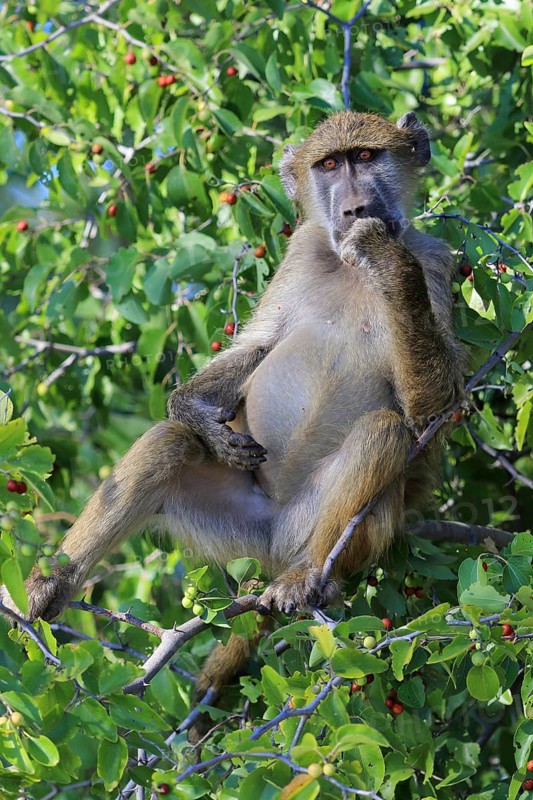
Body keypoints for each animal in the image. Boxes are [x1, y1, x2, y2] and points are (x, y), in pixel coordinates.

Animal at [1, 112, 464, 684]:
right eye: (329, 164)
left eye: (366, 156)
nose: (355, 209)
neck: (346, 266)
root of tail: (272, 546)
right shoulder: (301, 251)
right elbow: (258, 345)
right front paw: (194, 413)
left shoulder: (435, 261)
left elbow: (433, 413)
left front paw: (384, 255)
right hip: (235, 533)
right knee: (168, 444)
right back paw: (45, 590)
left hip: (331, 532)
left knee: (384, 431)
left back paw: (309, 578)